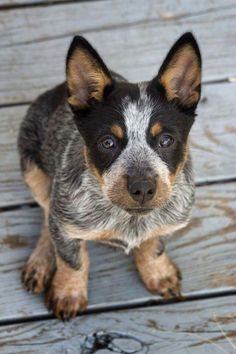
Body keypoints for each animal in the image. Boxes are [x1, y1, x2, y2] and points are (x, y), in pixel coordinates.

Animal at [18, 32, 201, 320]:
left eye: (166, 140)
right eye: (107, 142)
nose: (142, 188)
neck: (129, 219)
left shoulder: (170, 219)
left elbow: (154, 247)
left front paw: (159, 273)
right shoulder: (65, 218)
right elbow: (72, 260)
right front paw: (68, 293)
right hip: (32, 171)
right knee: (48, 216)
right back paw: (40, 262)